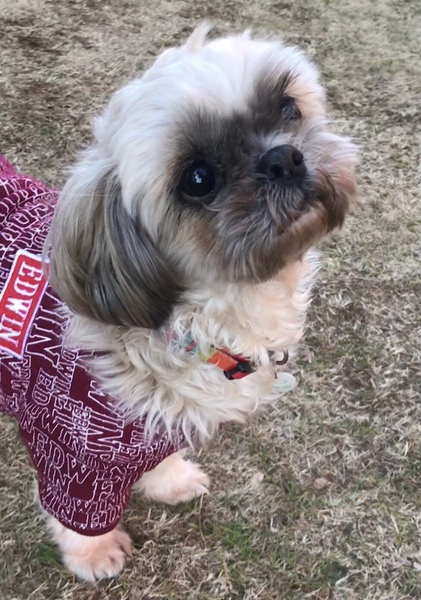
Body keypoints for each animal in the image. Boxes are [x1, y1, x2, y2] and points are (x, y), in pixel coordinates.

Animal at [0, 24, 357, 581]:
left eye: (288, 107)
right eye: (197, 178)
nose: (283, 158)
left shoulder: (154, 421)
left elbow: (161, 454)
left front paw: (169, 481)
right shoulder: (72, 445)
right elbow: (76, 512)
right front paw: (93, 554)